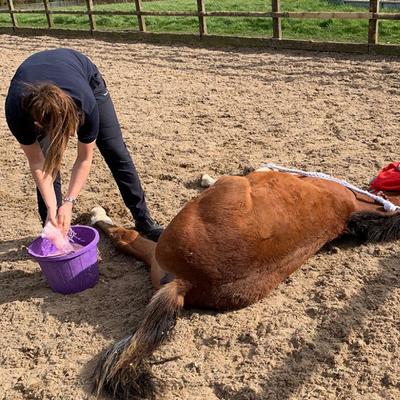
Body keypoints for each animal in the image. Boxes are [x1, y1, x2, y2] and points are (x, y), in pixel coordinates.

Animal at [90, 168, 400, 400]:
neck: (354, 204)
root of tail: (185, 282)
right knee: (131, 242)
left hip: (217, 197)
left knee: (125, 237)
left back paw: (97, 215)